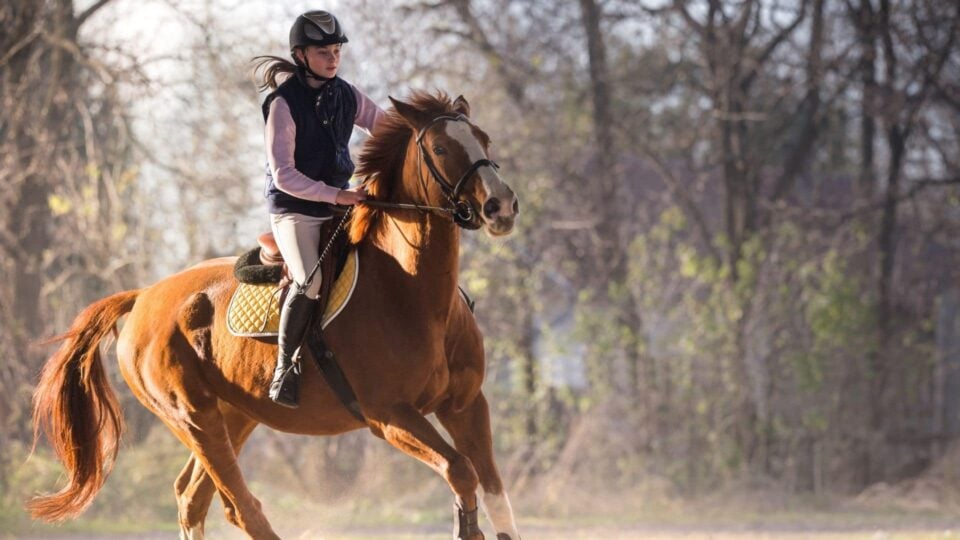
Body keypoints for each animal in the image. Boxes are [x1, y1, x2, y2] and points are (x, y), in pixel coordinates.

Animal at [28, 92, 522, 540]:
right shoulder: (391, 416)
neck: (413, 293)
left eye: (484, 139)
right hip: (193, 418)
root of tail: (143, 296)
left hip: (235, 414)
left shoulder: (465, 405)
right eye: (439, 148)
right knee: (239, 507)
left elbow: (494, 488)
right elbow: (461, 471)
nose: (501, 206)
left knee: (192, 498)